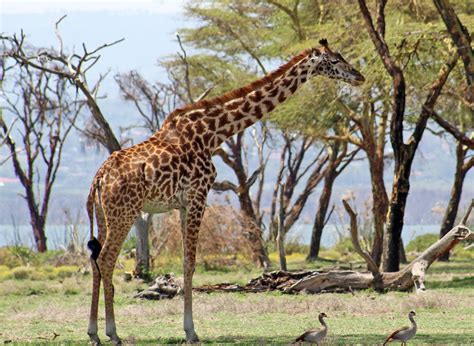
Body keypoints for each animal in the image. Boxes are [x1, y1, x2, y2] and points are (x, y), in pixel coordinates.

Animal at [86, 38, 366, 344]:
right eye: (335, 60)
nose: (359, 76)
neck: (212, 133)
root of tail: (98, 179)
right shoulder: (198, 194)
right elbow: (190, 263)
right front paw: (191, 331)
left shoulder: (183, 203)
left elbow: (186, 261)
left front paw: (188, 328)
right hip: (124, 213)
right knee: (106, 259)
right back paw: (112, 333)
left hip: (104, 215)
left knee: (95, 261)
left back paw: (94, 332)